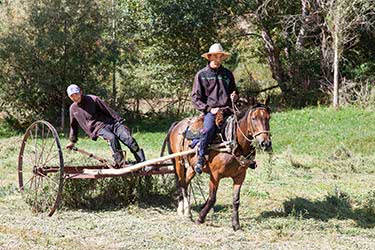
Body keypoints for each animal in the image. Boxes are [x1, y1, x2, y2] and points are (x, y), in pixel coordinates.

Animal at [164, 97, 274, 230]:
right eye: (253, 118)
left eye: (268, 117)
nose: (265, 143)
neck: (232, 143)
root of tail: (177, 124)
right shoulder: (215, 176)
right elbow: (212, 198)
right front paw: (200, 217)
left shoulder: (240, 176)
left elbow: (236, 200)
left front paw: (236, 224)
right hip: (178, 162)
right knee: (181, 184)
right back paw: (186, 211)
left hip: (191, 167)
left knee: (185, 182)